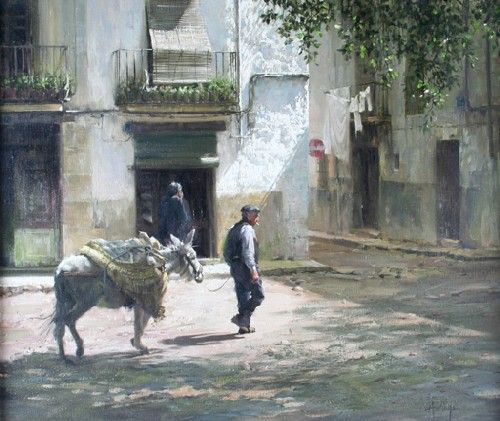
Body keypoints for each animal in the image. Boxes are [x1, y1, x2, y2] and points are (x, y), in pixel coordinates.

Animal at [52, 229, 203, 360]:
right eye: (193, 256)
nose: (200, 273)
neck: (160, 262)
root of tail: (61, 269)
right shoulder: (145, 301)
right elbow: (140, 324)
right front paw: (139, 345)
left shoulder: (141, 302)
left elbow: (140, 324)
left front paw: (135, 342)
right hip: (84, 302)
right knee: (69, 320)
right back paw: (78, 349)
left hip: (67, 301)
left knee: (59, 323)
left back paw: (62, 354)